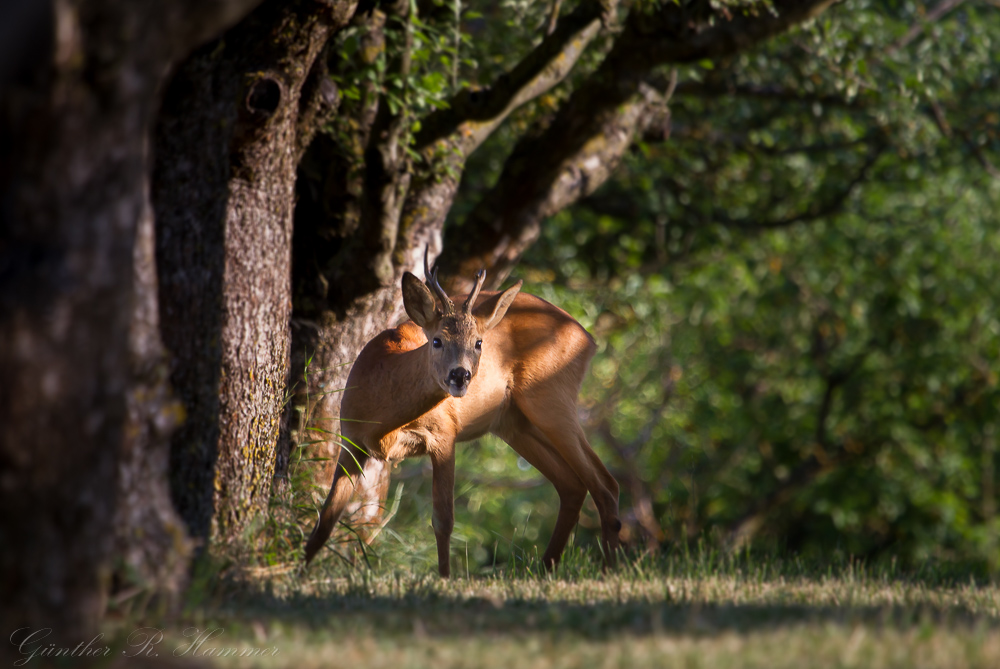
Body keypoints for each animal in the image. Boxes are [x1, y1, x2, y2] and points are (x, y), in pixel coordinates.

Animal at [300, 252, 620, 576]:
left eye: (478, 342)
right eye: (437, 340)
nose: (460, 375)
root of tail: (587, 337)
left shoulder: (444, 433)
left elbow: (443, 520)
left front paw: (444, 578)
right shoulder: (351, 441)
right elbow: (325, 520)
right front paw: (298, 571)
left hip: (551, 399)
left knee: (605, 483)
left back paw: (610, 569)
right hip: (515, 424)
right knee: (572, 485)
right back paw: (547, 568)